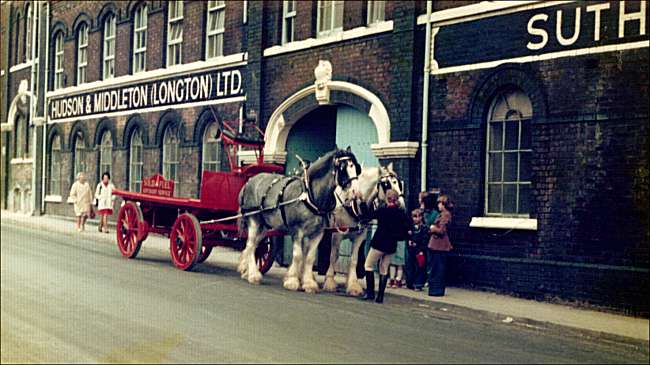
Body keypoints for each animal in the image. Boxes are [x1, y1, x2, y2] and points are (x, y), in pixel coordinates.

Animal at [237, 146, 360, 292]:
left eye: (356, 168)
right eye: (343, 168)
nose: (356, 192)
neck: (310, 196)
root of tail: (250, 181)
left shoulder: (318, 233)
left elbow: (309, 257)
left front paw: (308, 283)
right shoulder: (297, 231)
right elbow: (298, 255)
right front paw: (292, 281)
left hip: (264, 226)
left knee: (254, 245)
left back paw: (246, 271)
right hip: (254, 220)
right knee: (250, 245)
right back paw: (254, 275)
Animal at [322, 162, 402, 296]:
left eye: (399, 183)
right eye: (387, 184)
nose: (401, 204)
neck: (352, 204)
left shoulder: (360, 236)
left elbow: (354, 259)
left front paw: (353, 285)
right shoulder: (337, 234)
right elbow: (334, 256)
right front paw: (329, 282)